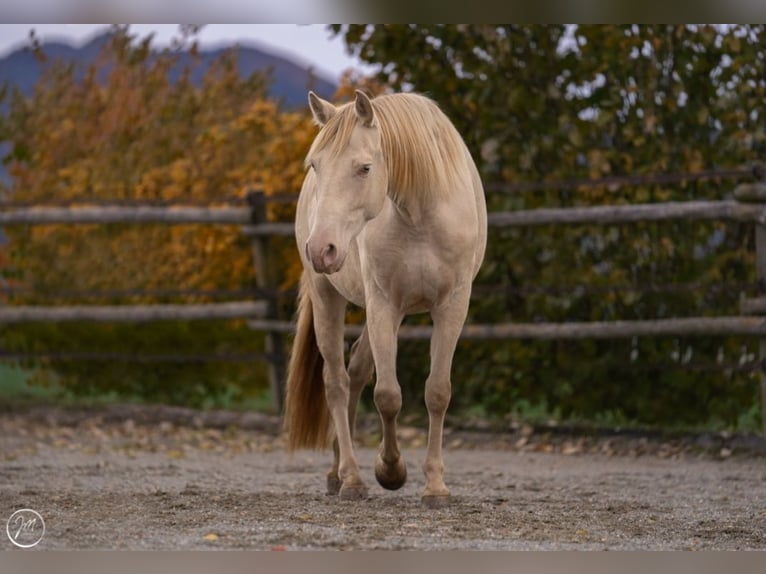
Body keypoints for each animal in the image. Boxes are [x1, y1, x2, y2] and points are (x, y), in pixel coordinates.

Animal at [284, 90, 488, 508]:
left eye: (364, 168)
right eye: (315, 166)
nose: (320, 249)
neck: (420, 214)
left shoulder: (451, 307)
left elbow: (437, 392)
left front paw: (435, 486)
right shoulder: (383, 304)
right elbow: (388, 396)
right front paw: (390, 471)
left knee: (357, 371)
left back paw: (337, 471)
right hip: (329, 298)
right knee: (337, 381)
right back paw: (350, 478)